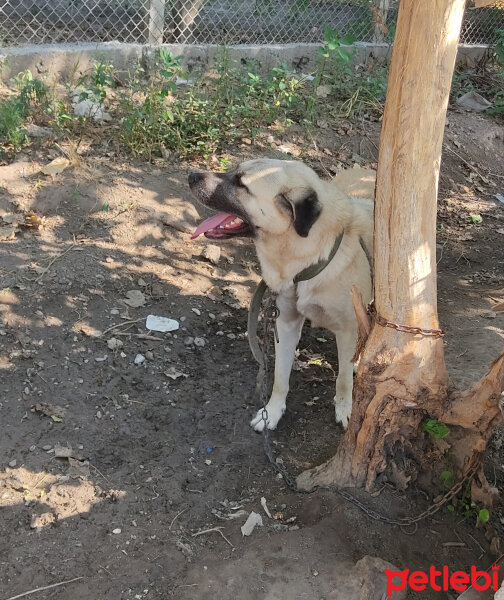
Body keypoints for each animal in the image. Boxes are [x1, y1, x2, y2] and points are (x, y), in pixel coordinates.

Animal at [189, 159, 374, 432]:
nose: (190, 175)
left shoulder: (347, 330)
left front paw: (344, 409)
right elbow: (279, 377)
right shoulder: (285, 324)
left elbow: (342, 379)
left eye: (241, 183)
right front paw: (273, 412)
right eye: (233, 170)